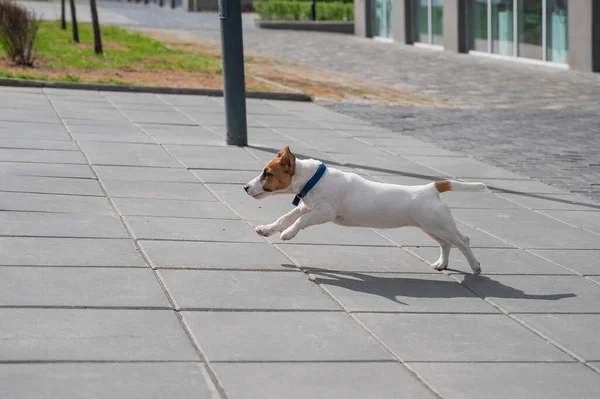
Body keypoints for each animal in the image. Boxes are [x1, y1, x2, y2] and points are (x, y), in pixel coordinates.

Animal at [244, 147, 488, 276]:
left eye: (267, 173)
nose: (245, 187)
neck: (313, 180)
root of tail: (431, 188)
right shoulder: (306, 206)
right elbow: (285, 218)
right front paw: (267, 229)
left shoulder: (324, 213)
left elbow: (300, 222)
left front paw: (288, 234)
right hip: (430, 227)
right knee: (446, 244)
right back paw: (441, 264)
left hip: (439, 225)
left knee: (462, 241)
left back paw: (475, 266)